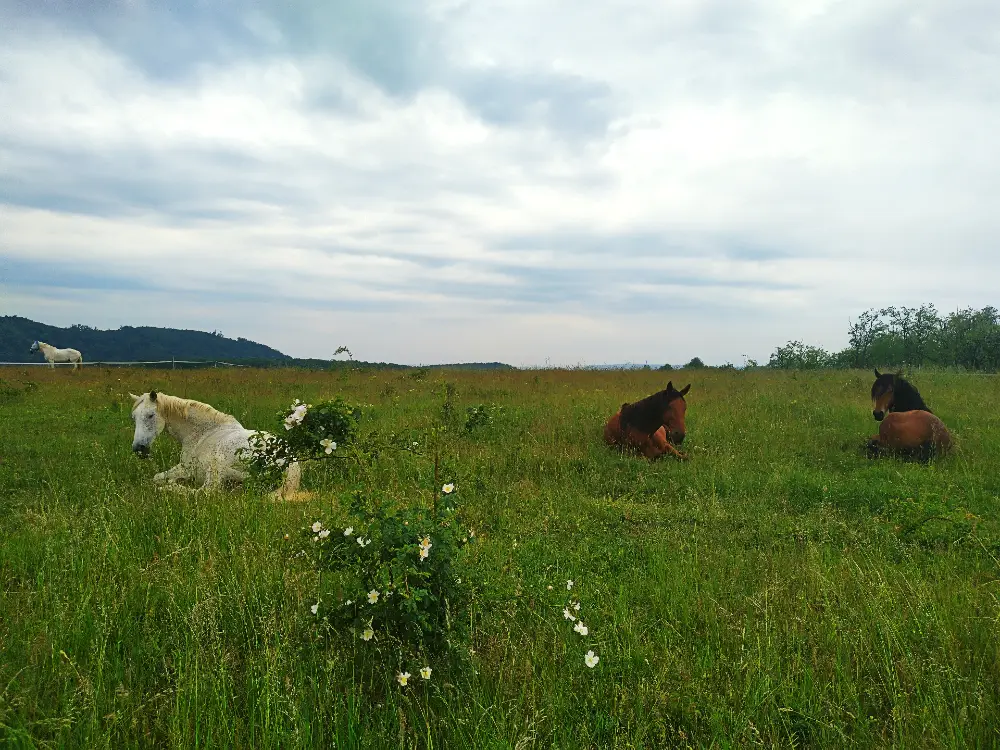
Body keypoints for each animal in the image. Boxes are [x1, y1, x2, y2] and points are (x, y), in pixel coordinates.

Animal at [131, 390, 306, 502]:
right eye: (133, 417)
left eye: (150, 415)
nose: (138, 449)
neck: (203, 432)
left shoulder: (186, 468)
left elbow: (158, 478)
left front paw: (169, 483)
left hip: (216, 466)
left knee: (204, 492)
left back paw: (170, 488)